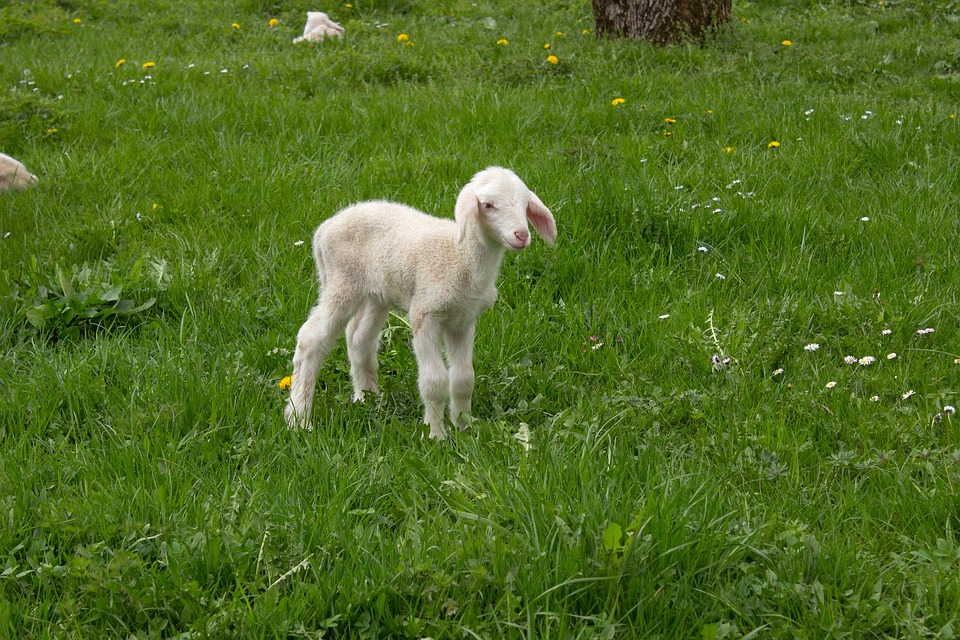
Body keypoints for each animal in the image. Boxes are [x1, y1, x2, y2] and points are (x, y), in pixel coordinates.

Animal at [285, 167, 557, 439]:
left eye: (525, 205)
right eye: (488, 205)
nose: (521, 235)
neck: (462, 259)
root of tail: (324, 228)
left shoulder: (463, 320)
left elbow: (463, 379)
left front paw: (464, 428)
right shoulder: (425, 314)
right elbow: (434, 381)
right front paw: (436, 434)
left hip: (377, 292)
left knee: (359, 338)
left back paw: (367, 399)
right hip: (341, 283)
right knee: (310, 339)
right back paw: (299, 418)